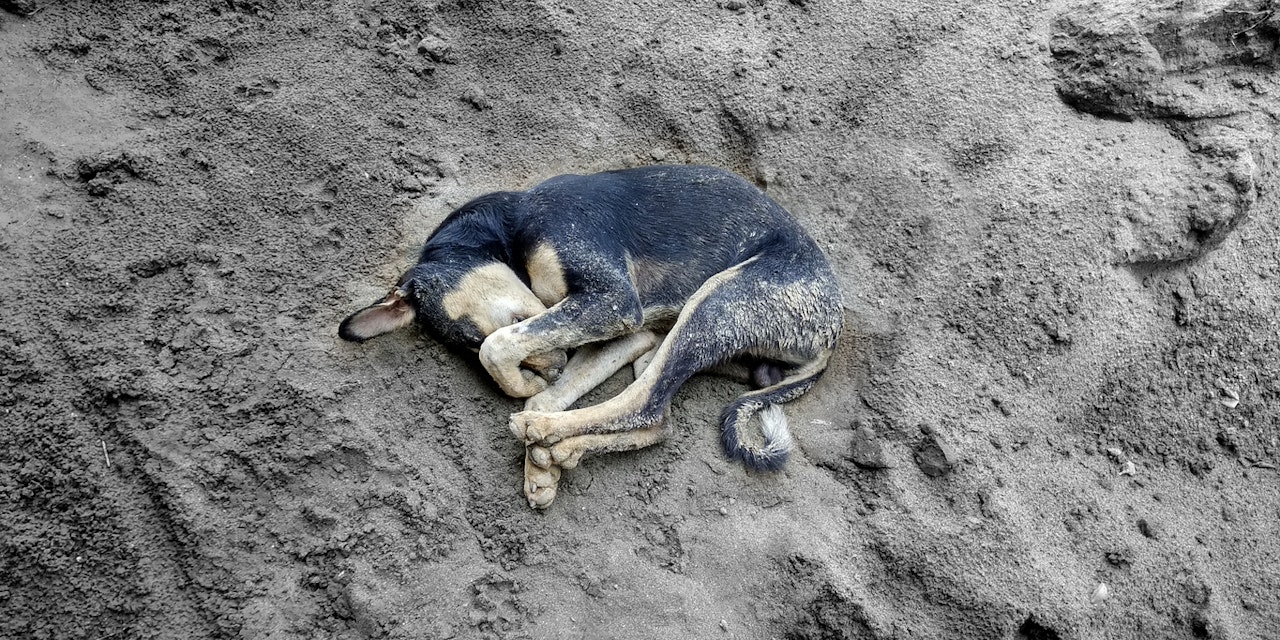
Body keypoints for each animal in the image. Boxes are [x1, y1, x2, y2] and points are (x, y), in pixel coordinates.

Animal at [335, 165, 844, 509]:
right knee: (656, 416)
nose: (551, 366)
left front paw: (526, 398)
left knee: (646, 403)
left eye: (469, 336)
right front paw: (539, 471)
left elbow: (501, 348)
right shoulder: (630, 332)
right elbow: (546, 391)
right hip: (677, 341)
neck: (514, 223)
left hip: (714, 304)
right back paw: (560, 447)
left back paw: (544, 433)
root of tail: (832, 330)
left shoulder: (613, 303)